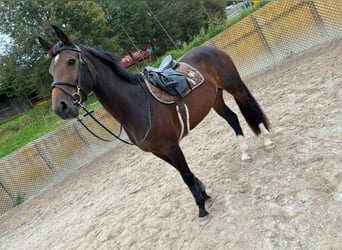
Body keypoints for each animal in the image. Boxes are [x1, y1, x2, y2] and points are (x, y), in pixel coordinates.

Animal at [38, 25, 272, 221]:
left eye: (71, 62)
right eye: (51, 70)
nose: (61, 107)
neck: (138, 104)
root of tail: (211, 49)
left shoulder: (172, 146)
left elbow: (186, 176)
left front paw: (201, 207)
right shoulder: (159, 152)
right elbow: (185, 175)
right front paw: (204, 192)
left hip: (236, 89)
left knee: (251, 109)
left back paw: (268, 141)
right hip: (215, 99)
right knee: (233, 118)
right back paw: (244, 152)